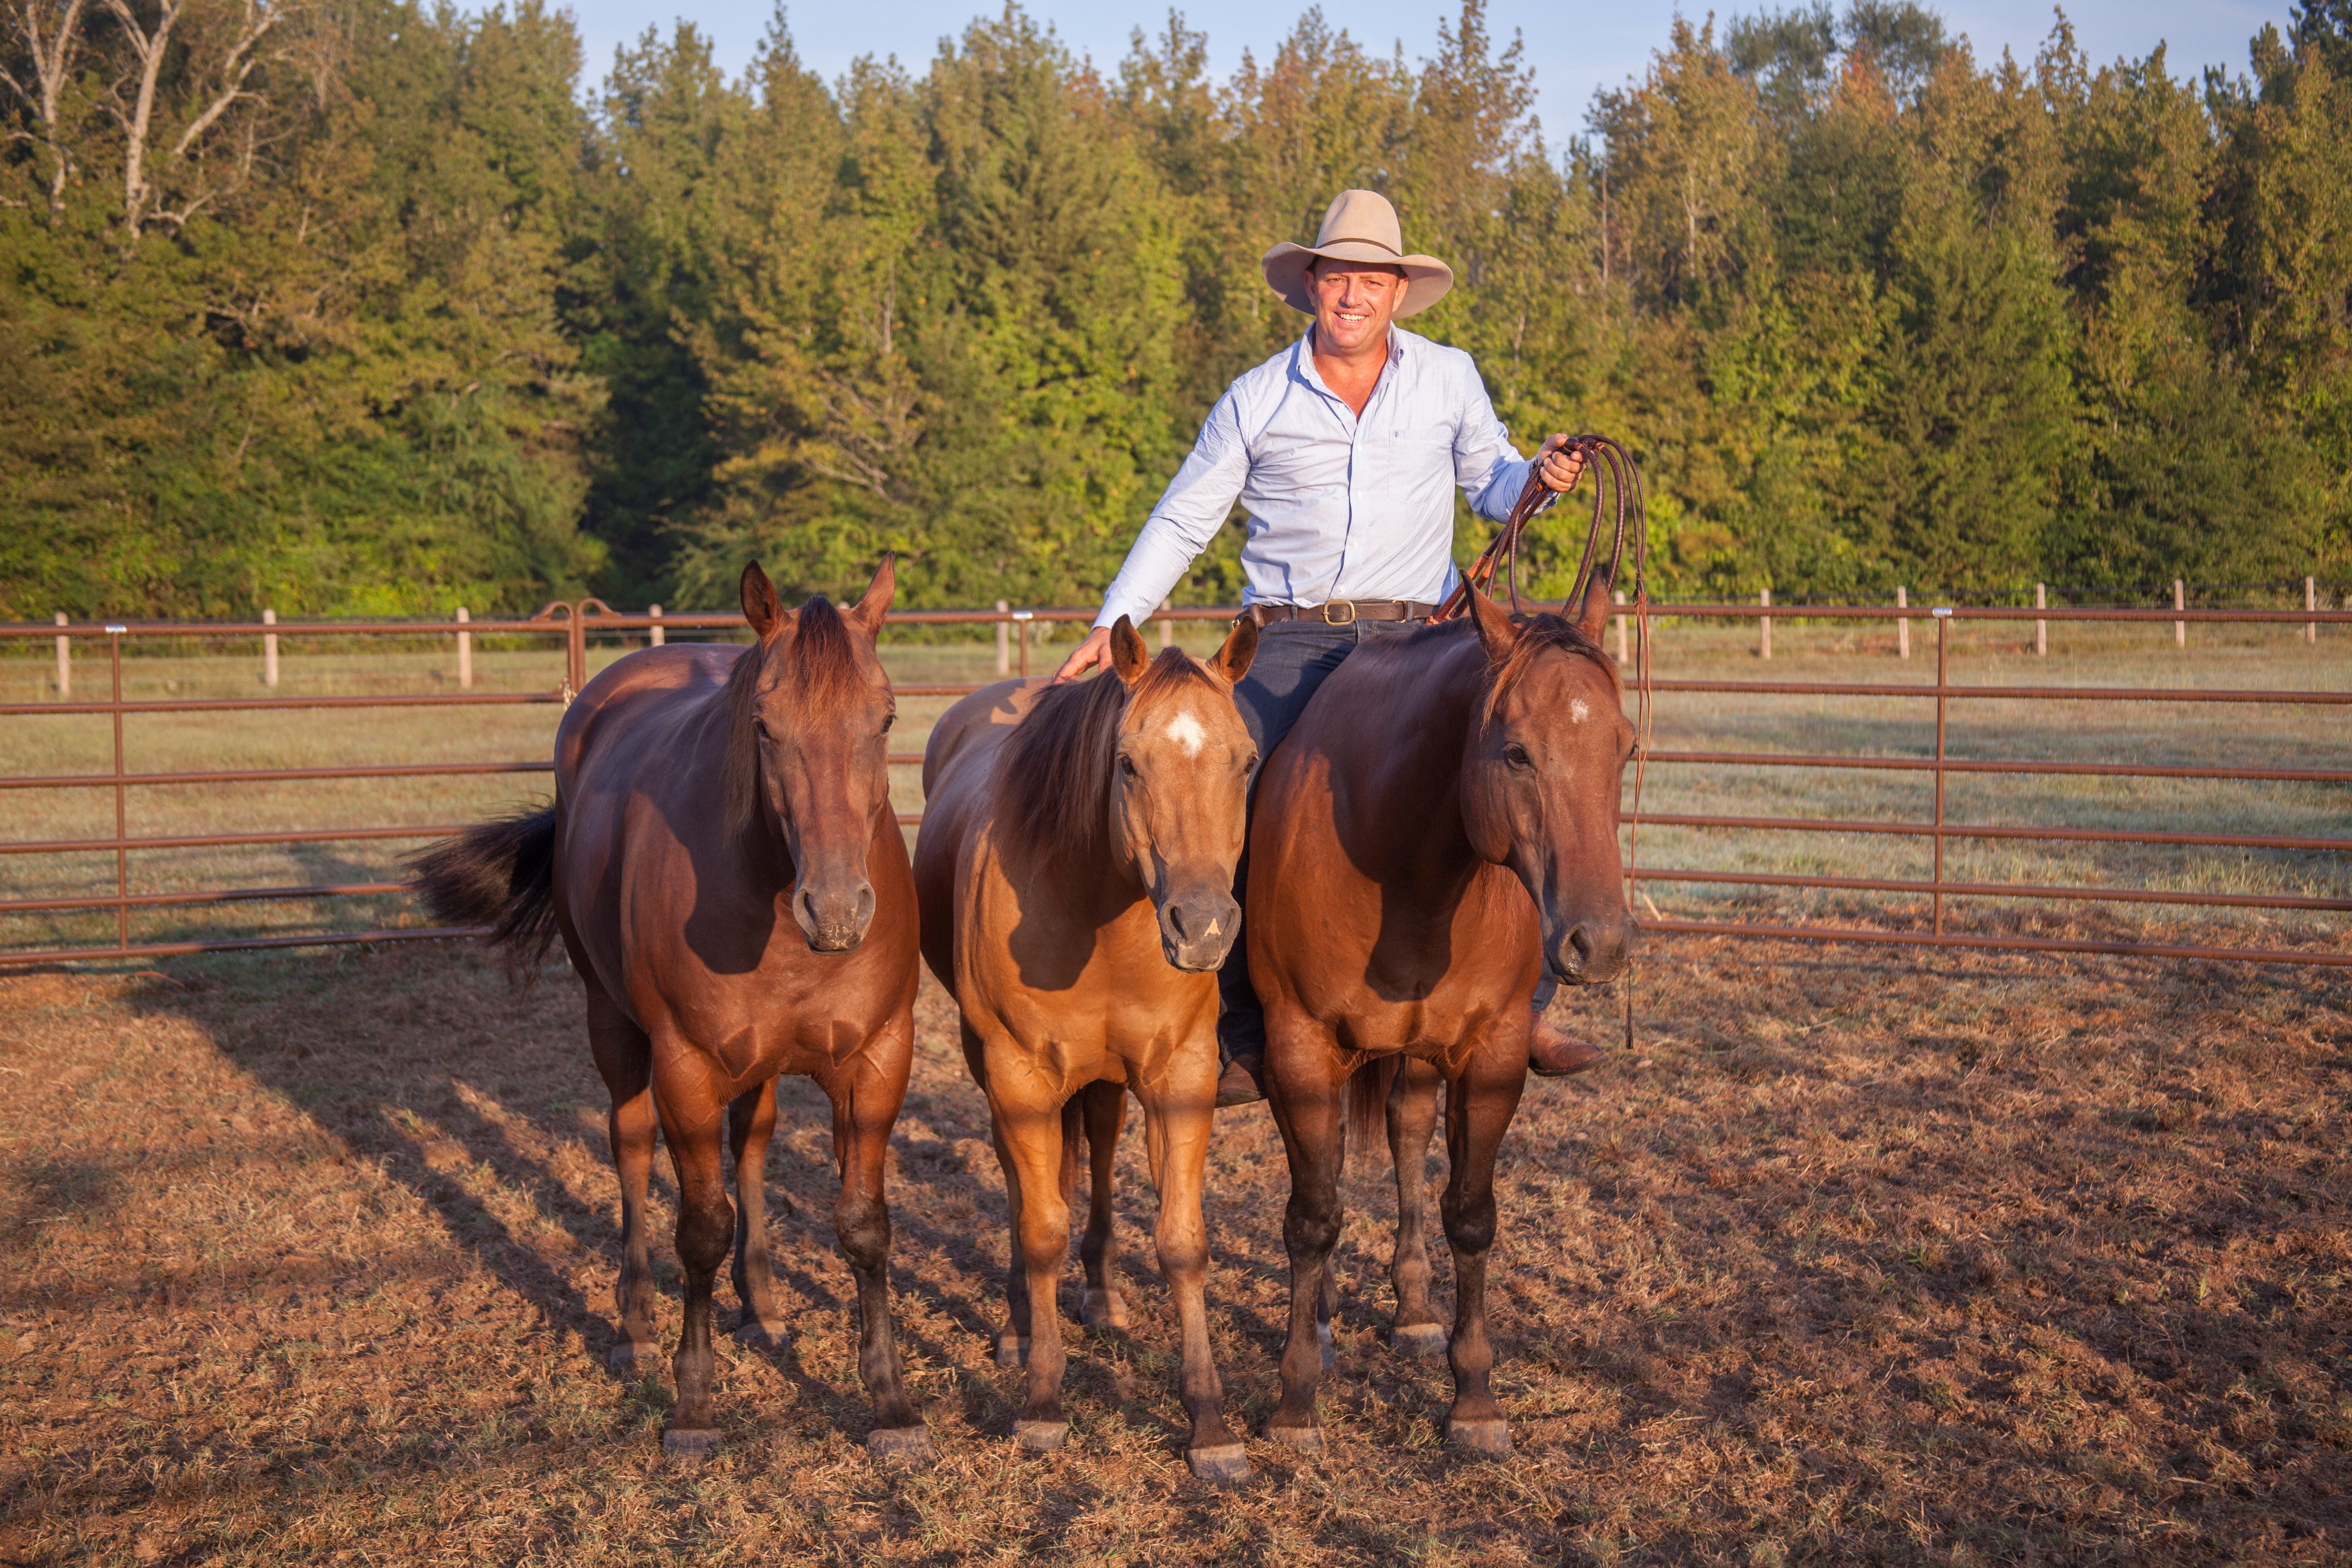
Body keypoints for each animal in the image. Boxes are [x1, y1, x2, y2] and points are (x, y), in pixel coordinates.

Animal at [412, 559, 931, 1464]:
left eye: (887, 717)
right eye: (764, 727)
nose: (837, 909)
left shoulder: (875, 1062)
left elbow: (863, 1225)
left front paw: (892, 1405)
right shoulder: (686, 1067)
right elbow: (699, 1228)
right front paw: (694, 1404)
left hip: (758, 1066)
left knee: (750, 1147)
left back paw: (762, 1307)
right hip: (614, 1027)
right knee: (630, 1147)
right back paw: (636, 1325)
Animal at [912, 614, 1260, 1483]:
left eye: (1245, 760)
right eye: (1127, 762)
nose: (1203, 926)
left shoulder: (1180, 1075)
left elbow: (1181, 1240)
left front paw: (1209, 1421)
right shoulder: (1020, 1074)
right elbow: (1041, 1228)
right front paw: (1041, 1399)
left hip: (1105, 1078)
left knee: (1096, 1148)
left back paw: (1101, 1292)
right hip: (997, 1071)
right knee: (1024, 1187)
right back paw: (1015, 1324)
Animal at [1243, 576, 1635, 1457]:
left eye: (1625, 747)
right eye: (1516, 751)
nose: (1598, 942)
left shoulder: (1491, 1057)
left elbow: (1470, 1214)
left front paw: (1475, 1398)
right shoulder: (1299, 1051)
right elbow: (1311, 1218)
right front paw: (1293, 1401)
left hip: (1422, 1053)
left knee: (1406, 1127)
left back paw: (1415, 1310)